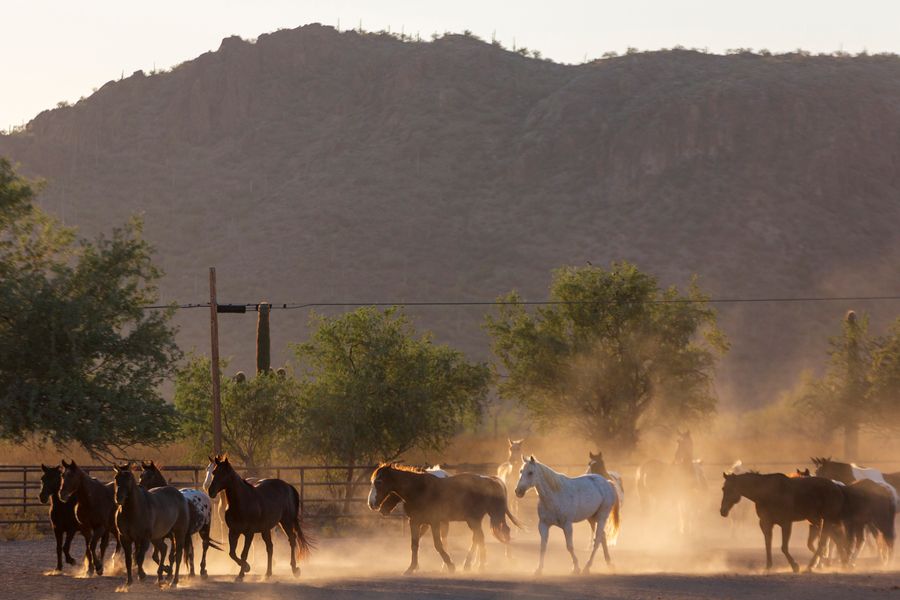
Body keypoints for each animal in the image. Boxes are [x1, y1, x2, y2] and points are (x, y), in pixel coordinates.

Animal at [366, 462, 520, 576]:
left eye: (379, 482)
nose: (372, 504)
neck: (419, 490)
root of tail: (490, 480)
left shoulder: (434, 522)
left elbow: (438, 544)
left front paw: (450, 565)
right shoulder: (415, 522)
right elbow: (414, 545)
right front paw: (411, 568)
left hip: (487, 516)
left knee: (493, 535)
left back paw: (490, 564)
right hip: (476, 519)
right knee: (480, 537)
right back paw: (476, 564)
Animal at [716, 474, 852, 572]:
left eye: (729, 489)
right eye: (723, 488)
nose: (723, 511)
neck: (767, 493)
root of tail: (838, 487)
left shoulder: (786, 523)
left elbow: (784, 547)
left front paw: (795, 566)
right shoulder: (766, 523)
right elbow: (768, 544)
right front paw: (768, 566)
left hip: (827, 520)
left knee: (824, 542)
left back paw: (811, 566)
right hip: (821, 520)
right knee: (836, 540)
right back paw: (843, 563)